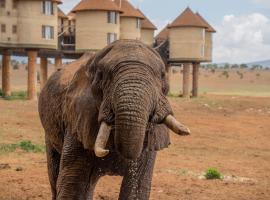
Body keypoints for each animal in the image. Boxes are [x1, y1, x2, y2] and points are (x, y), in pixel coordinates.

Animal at [38, 39, 191, 200]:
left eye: (162, 76)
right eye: (102, 76)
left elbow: (136, 188)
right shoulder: (78, 119)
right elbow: (73, 186)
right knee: (55, 173)